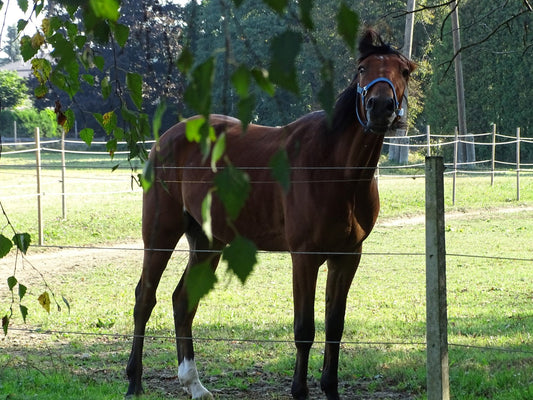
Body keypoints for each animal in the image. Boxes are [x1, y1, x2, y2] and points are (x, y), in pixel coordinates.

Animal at [125, 28, 416, 400]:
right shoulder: (304, 257)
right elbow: (304, 329)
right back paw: (134, 382)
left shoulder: (347, 257)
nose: (380, 107)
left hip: (208, 242)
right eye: (362, 69)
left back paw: (194, 384)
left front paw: (330, 389)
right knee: (145, 298)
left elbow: (335, 327)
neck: (334, 169)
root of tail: (167, 137)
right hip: (161, 232)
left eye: (403, 71)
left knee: (183, 301)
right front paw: (299, 391)